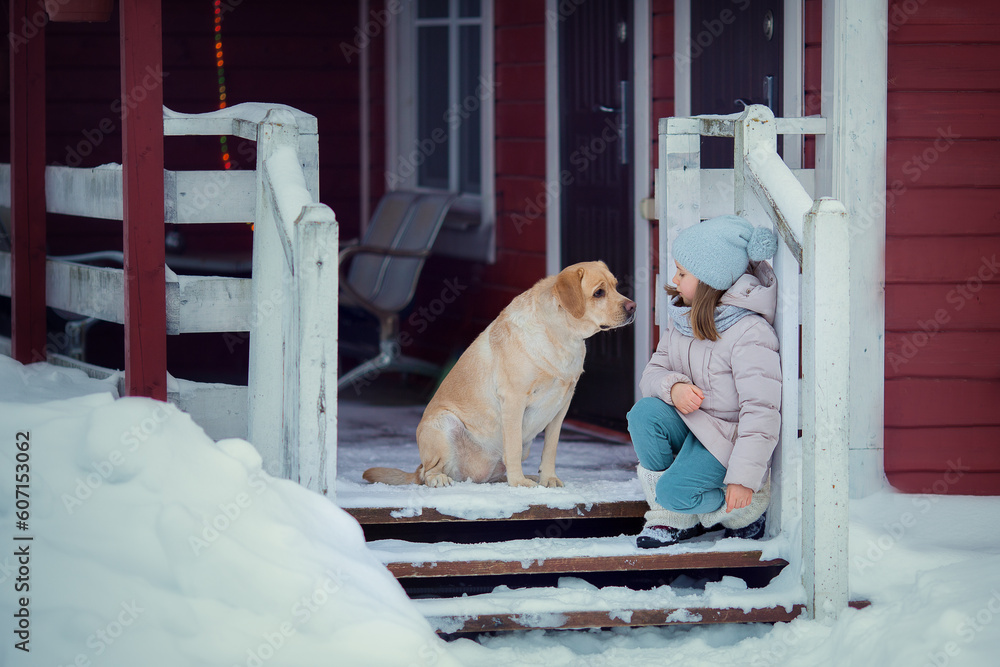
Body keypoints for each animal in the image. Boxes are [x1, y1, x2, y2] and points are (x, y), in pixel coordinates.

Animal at [364, 262, 636, 490]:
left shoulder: (562, 406)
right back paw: (442, 478)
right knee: (427, 473)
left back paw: (528, 476)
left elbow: (550, 449)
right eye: (599, 293)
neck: (561, 335)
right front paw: (519, 483)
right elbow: (512, 447)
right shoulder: (514, 400)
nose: (633, 306)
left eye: (615, 286)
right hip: (442, 425)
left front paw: (548, 478)